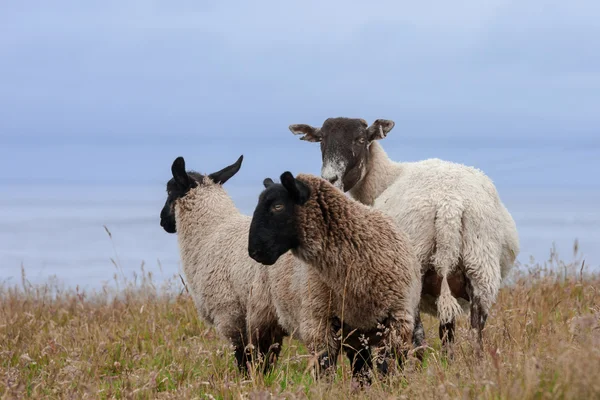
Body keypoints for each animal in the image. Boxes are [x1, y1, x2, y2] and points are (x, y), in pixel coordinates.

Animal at [158, 155, 288, 374]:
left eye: (169, 191)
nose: (162, 222)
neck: (210, 232)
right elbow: (267, 356)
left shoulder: (230, 311)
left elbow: (245, 356)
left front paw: (247, 379)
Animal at [247, 170, 422, 376]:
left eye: (278, 206)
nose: (254, 251)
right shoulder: (319, 323)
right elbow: (324, 368)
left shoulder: (397, 321)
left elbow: (389, 367)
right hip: (263, 316)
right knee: (261, 356)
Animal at [288, 117, 516, 352]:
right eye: (321, 139)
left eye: (360, 139)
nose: (330, 178)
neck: (386, 178)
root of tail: (449, 204)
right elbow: (448, 334)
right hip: (480, 267)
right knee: (476, 334)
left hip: (415, 268)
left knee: (418, 334)